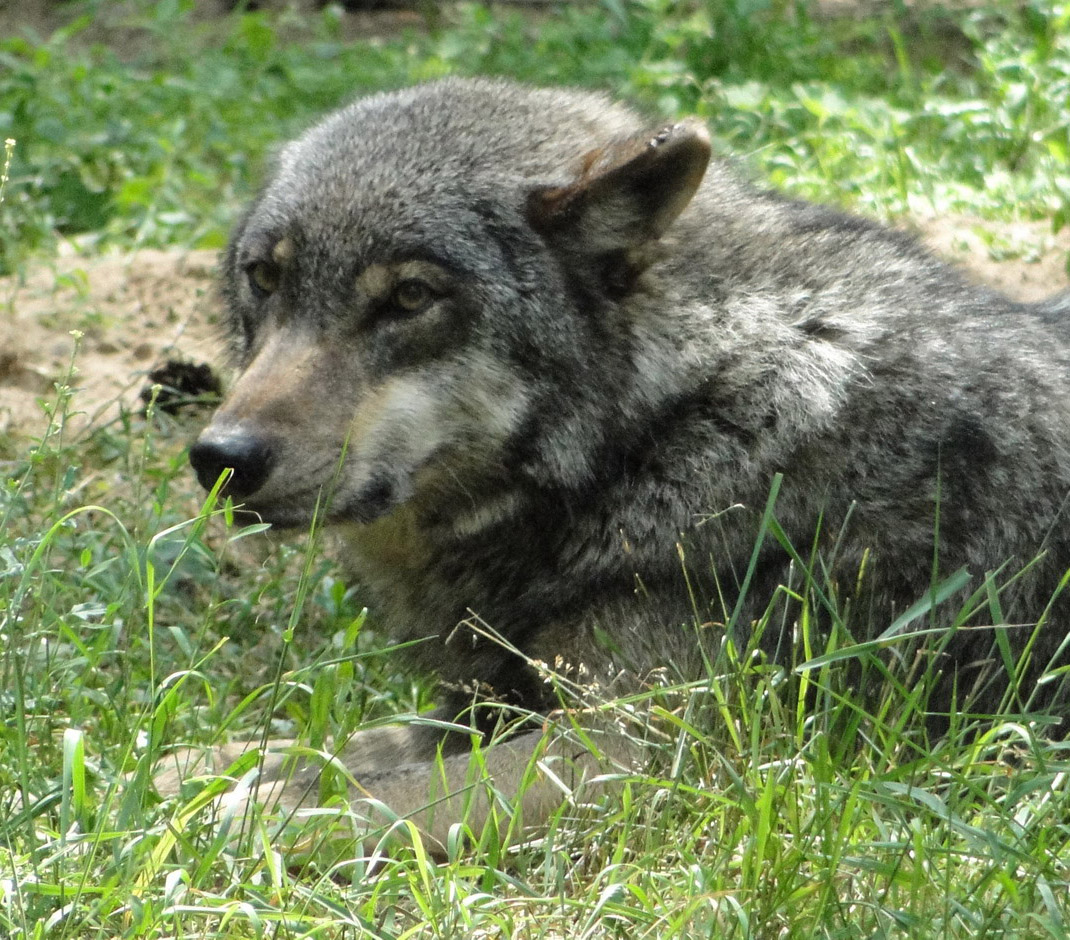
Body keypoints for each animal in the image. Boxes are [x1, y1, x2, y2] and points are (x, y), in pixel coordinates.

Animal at [160, 75, 1070, 851]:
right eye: (264, 278)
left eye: (411, 298)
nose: (222, 459)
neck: (669, 423)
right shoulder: (488, 705)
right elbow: (328, 747)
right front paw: (186, 769)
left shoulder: (631, 754)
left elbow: (363, 798)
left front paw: (226, 819)